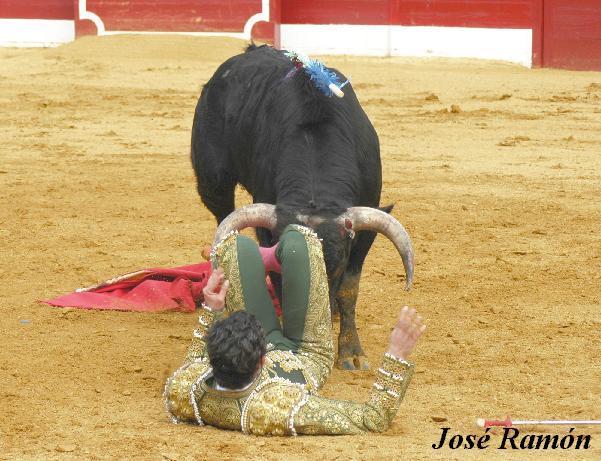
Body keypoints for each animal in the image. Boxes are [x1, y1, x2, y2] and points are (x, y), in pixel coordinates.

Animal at [191, 45, 412, 368]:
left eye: (335, 266)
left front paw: (351, 352)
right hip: (213, 181)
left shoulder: (366, 229)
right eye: (282, 269)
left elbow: (349, 288)